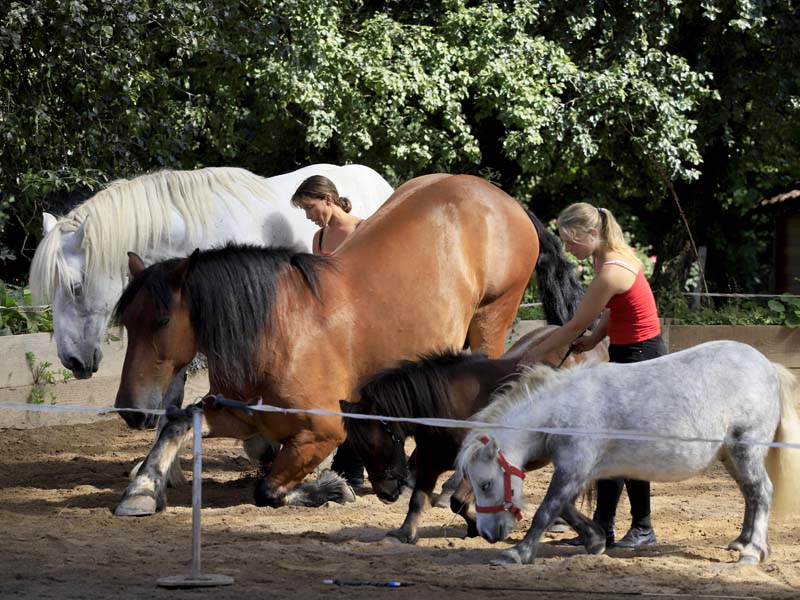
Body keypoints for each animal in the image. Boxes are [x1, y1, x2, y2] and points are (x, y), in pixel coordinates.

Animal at [112, 173, 584, 516]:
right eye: (127, 323)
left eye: (161, 320)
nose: (130, 410)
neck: (277, 333)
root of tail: (505, 200)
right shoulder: (243, 416)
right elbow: (179, 423)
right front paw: (142, 489)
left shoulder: (323, 430)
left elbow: (267, 490)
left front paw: (333, 488)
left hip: (491, 320)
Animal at [340, 324, 609, 544]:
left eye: (373, 444)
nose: (385, 494)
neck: (449, 408)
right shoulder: (429, 461)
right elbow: (418, 500)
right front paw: (405, 533)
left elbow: (458, 502)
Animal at [456, 340, 800, 565]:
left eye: (485, 484)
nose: (488, 533)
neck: (562, 410)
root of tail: (769, 368)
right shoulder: (579, 470)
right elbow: (565, 508)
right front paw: (594, 541)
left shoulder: (573, 468)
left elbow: (547, 509)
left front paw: (518, 553)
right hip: (731, 456)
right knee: (750, 495)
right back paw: (741, 542)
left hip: (746, 450)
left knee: (762, 492)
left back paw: (753, 551)